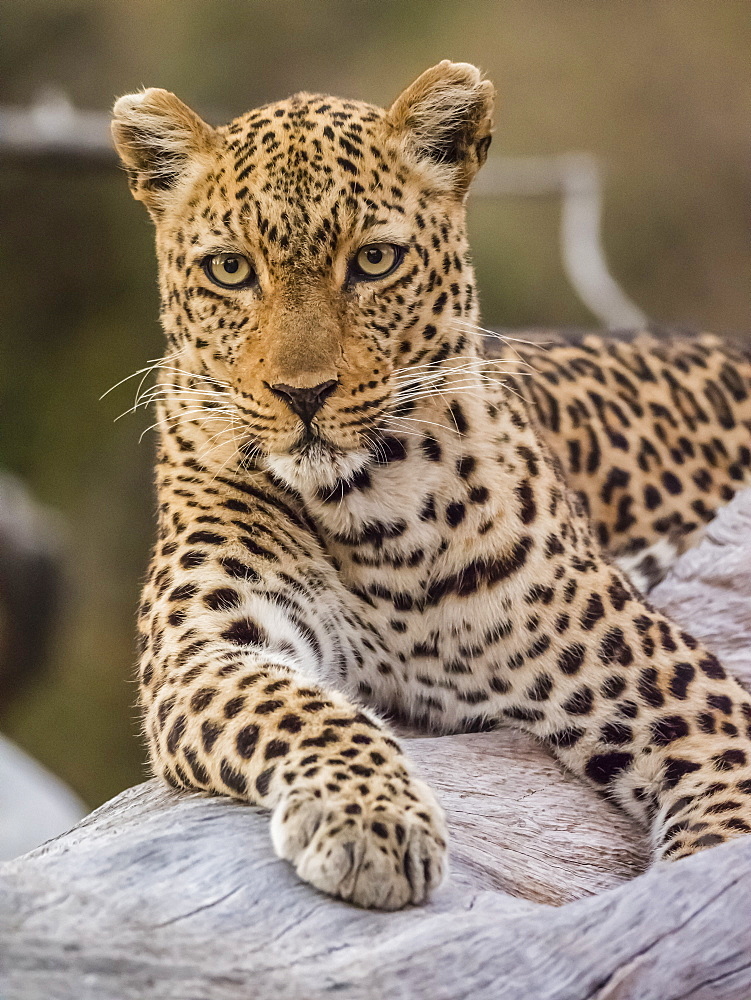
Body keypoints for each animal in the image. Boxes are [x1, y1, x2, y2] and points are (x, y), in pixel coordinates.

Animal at [110, 58, 751, 912]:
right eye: (231, 270)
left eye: (374, 261)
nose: (303, 395)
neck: (370, 514)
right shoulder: (205, 647)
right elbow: (299, 707)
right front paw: (370, 823)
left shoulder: (683, 699)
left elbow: (718, 844)